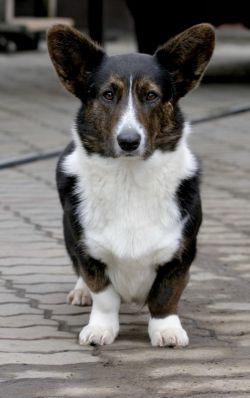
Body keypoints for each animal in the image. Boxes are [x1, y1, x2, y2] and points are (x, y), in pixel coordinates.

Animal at [47, 22, 215, 346]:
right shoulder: (88, 250)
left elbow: (165, 295)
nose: (128, 141)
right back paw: (81, 291)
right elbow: (104, 295)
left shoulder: (181, 253)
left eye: (151, 95)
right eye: (108, 94)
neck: (129, 177)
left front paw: (166, 330)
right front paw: (100, 328)